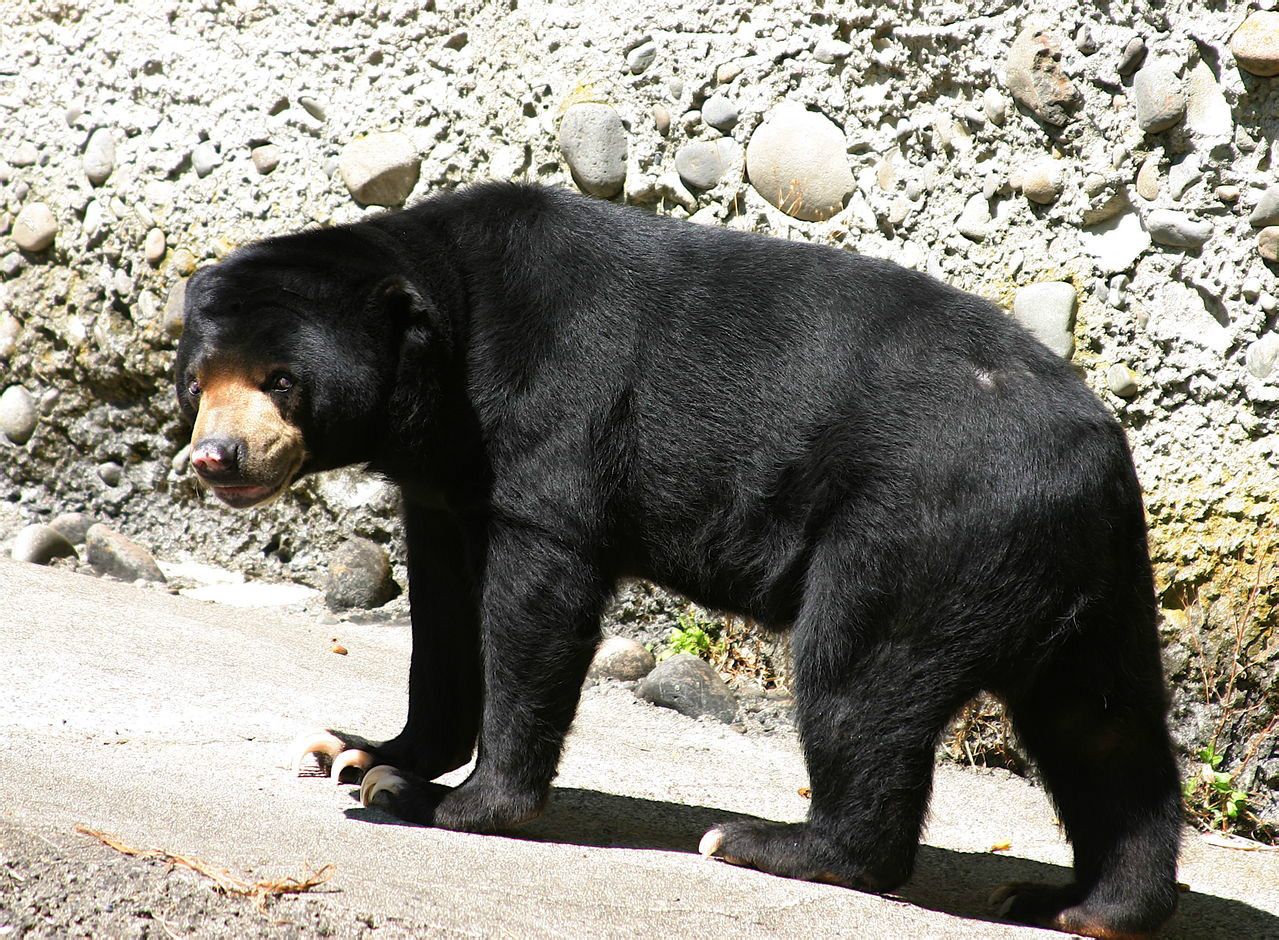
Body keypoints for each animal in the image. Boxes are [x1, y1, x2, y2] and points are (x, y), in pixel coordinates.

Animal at [175, 180, 1181, 936]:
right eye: (197, 381)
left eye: (281, 382)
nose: (215, 457)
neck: (446, 349)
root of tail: (1096, 455)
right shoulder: (441, 482)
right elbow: (444, 620)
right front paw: (357, 751)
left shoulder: (551, 426)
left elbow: (537, 600)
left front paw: (439, 800)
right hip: (1080, 579)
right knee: (1104, 727)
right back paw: (1080, 904)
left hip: (923, 537)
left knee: (858, 678)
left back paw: (766, 844)